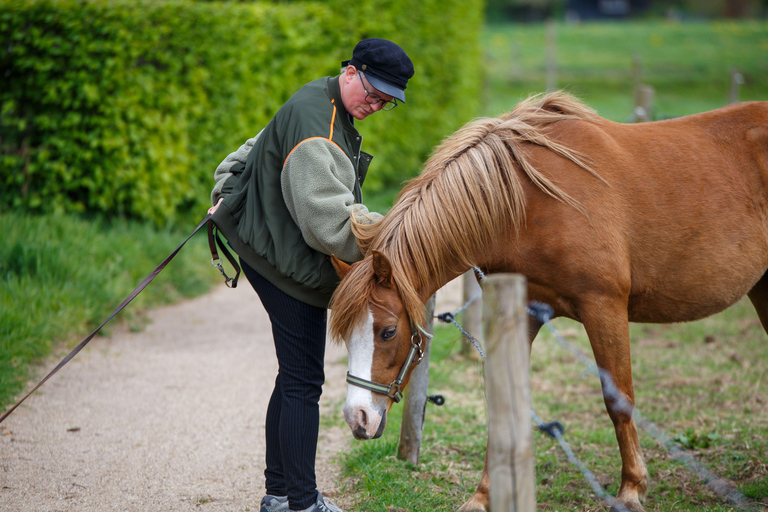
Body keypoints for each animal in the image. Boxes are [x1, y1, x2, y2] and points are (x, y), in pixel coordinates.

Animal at [327, 91, 768, 512]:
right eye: (345, 335)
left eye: (388, 331)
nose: (357, 418)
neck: (528, 201)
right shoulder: (523, 313)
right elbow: (502, 405)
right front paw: (483, 496)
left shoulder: (604, 308)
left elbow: (619, 401)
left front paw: (631, 490)